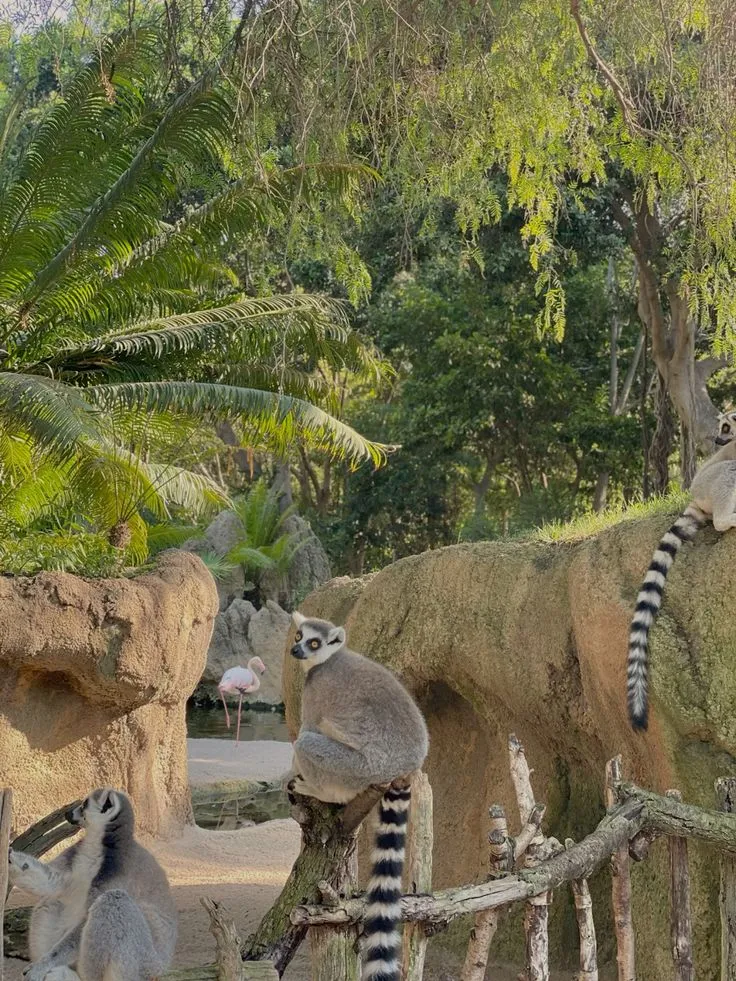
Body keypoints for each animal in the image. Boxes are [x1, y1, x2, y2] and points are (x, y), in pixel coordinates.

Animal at [8, 788, 177, 981]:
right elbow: (53, 882)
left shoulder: (120, 873)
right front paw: (10, 858)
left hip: (143, 962)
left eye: (84, 805)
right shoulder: (74, 859)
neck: (96, 844)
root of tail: (162, 967)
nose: (67, 813)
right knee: (50, 901)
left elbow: (82, 923)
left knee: (113, 901)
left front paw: (41, 966)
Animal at [287, 611, 429, 981]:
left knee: (307, 742)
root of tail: (407, 767)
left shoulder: (316, 691)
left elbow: (308, 727)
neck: (327, 661)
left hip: (355, 769)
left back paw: (317, 788)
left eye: (315, 643)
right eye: (299, 635)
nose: (296, 650)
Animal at [627, 409, 736, 730]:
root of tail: (695, 495)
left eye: (727, 427)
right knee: (729, 473)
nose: (718, 440)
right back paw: (729, 519)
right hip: (712, 484)